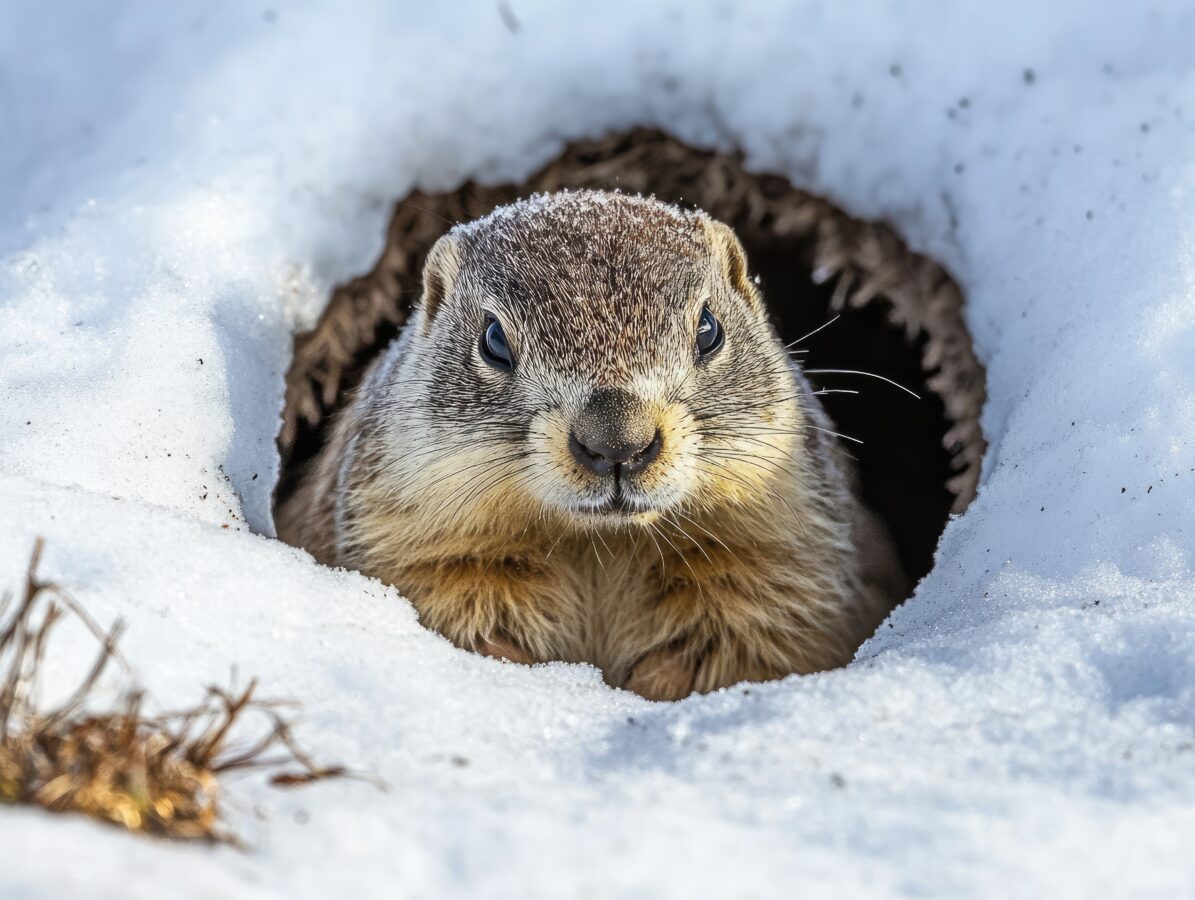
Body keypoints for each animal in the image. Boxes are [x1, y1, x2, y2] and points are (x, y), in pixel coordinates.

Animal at [273, 187, 903, 693]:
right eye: (493, 339)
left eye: (709, 329)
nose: (617, 442)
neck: (601, 545)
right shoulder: (405, 534)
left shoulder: (789, 546)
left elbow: (752, 633)